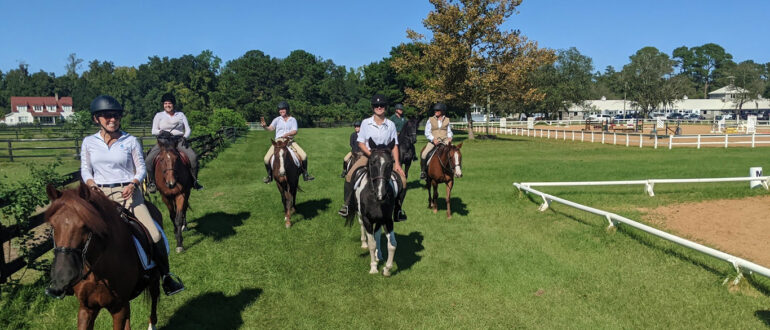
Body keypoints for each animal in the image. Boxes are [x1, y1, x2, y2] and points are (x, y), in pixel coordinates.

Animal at [44, 183, 164, 330]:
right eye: (52, 225)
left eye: (86, 225)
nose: (62, 279)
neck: (98, 272)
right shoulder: (87, 308)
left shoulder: (118, 309)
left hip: (154, 278)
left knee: (154, 296)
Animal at [354, 138, 400, 278]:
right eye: (372, 162)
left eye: (391, 163)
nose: (382, 194)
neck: (375, 197)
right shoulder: (367, 219)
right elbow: (371, 244)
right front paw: (374, 267)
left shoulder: (387, 219)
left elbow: (392, 244)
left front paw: (387, 269)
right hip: (360, 216)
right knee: (363, 228)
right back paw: (364, 244)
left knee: (378, 234)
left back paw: (379, 255)